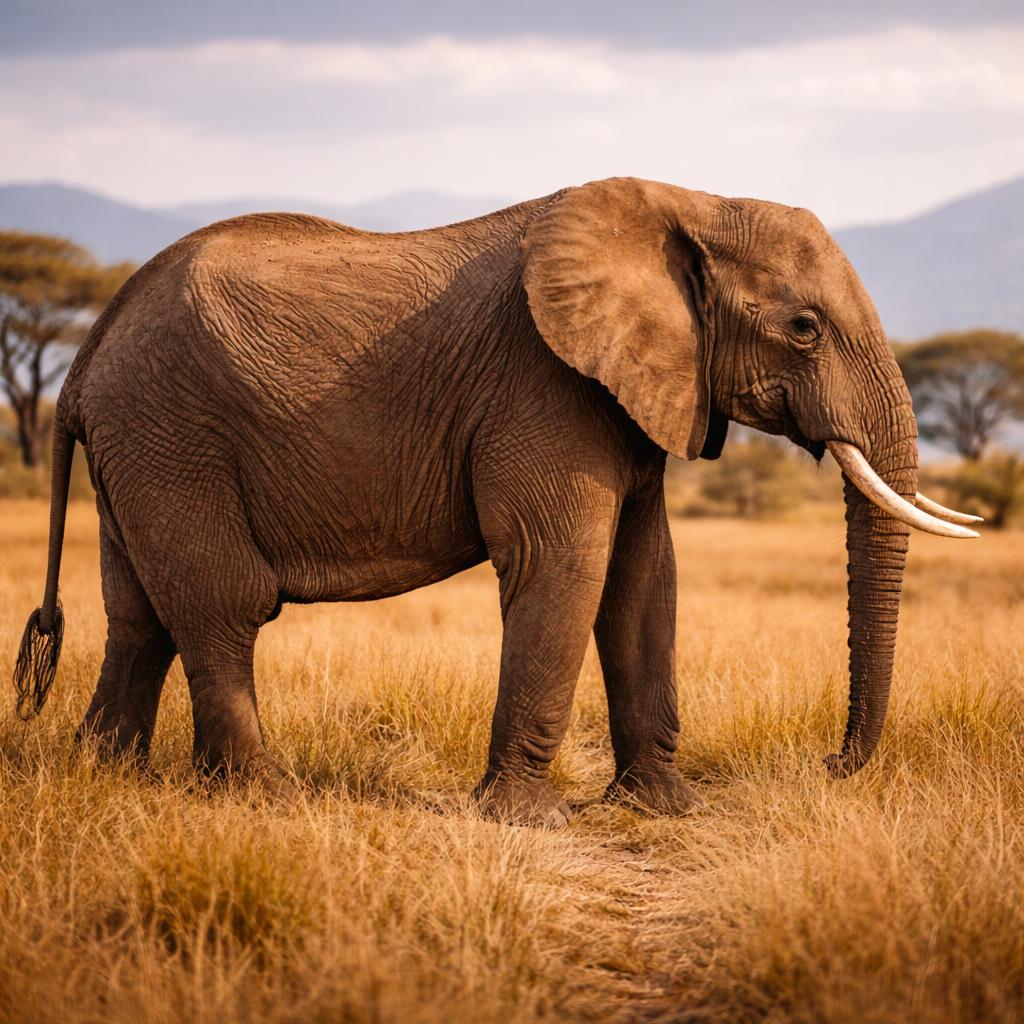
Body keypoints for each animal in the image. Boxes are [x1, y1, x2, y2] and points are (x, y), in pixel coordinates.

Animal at [14, 177, 980, 825]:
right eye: (804, 329)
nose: (831, 763)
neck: (686, 201)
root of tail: (85, 358)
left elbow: (644, 579)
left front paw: (667, 808)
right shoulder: (543, 387)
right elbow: (566, 565)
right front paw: (528, 820)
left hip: (141, 448)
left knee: (141, 614)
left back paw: (109, 775)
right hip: (173, 432)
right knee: (221, 603)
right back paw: (265, 796)